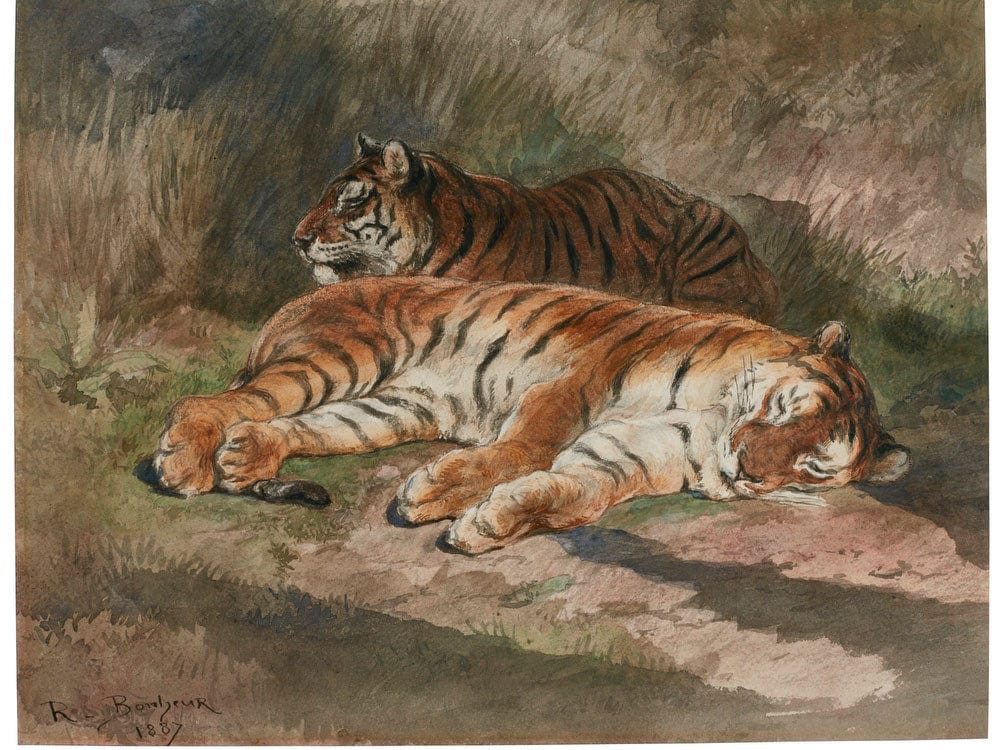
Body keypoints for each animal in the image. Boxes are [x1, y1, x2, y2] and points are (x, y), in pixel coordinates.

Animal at [150, 277, 910, 554]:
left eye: (811, 466)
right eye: (785, 407)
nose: (749, 469)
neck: (712, 424)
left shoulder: (634, 451)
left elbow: (572, 492)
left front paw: (490, 521)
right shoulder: (578, 383)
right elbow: (525, 448)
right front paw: (444, 489)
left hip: (389, 407)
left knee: (285, 424)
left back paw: (245, 455)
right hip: (343, 356)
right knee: (211, 402)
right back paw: (185, 462)